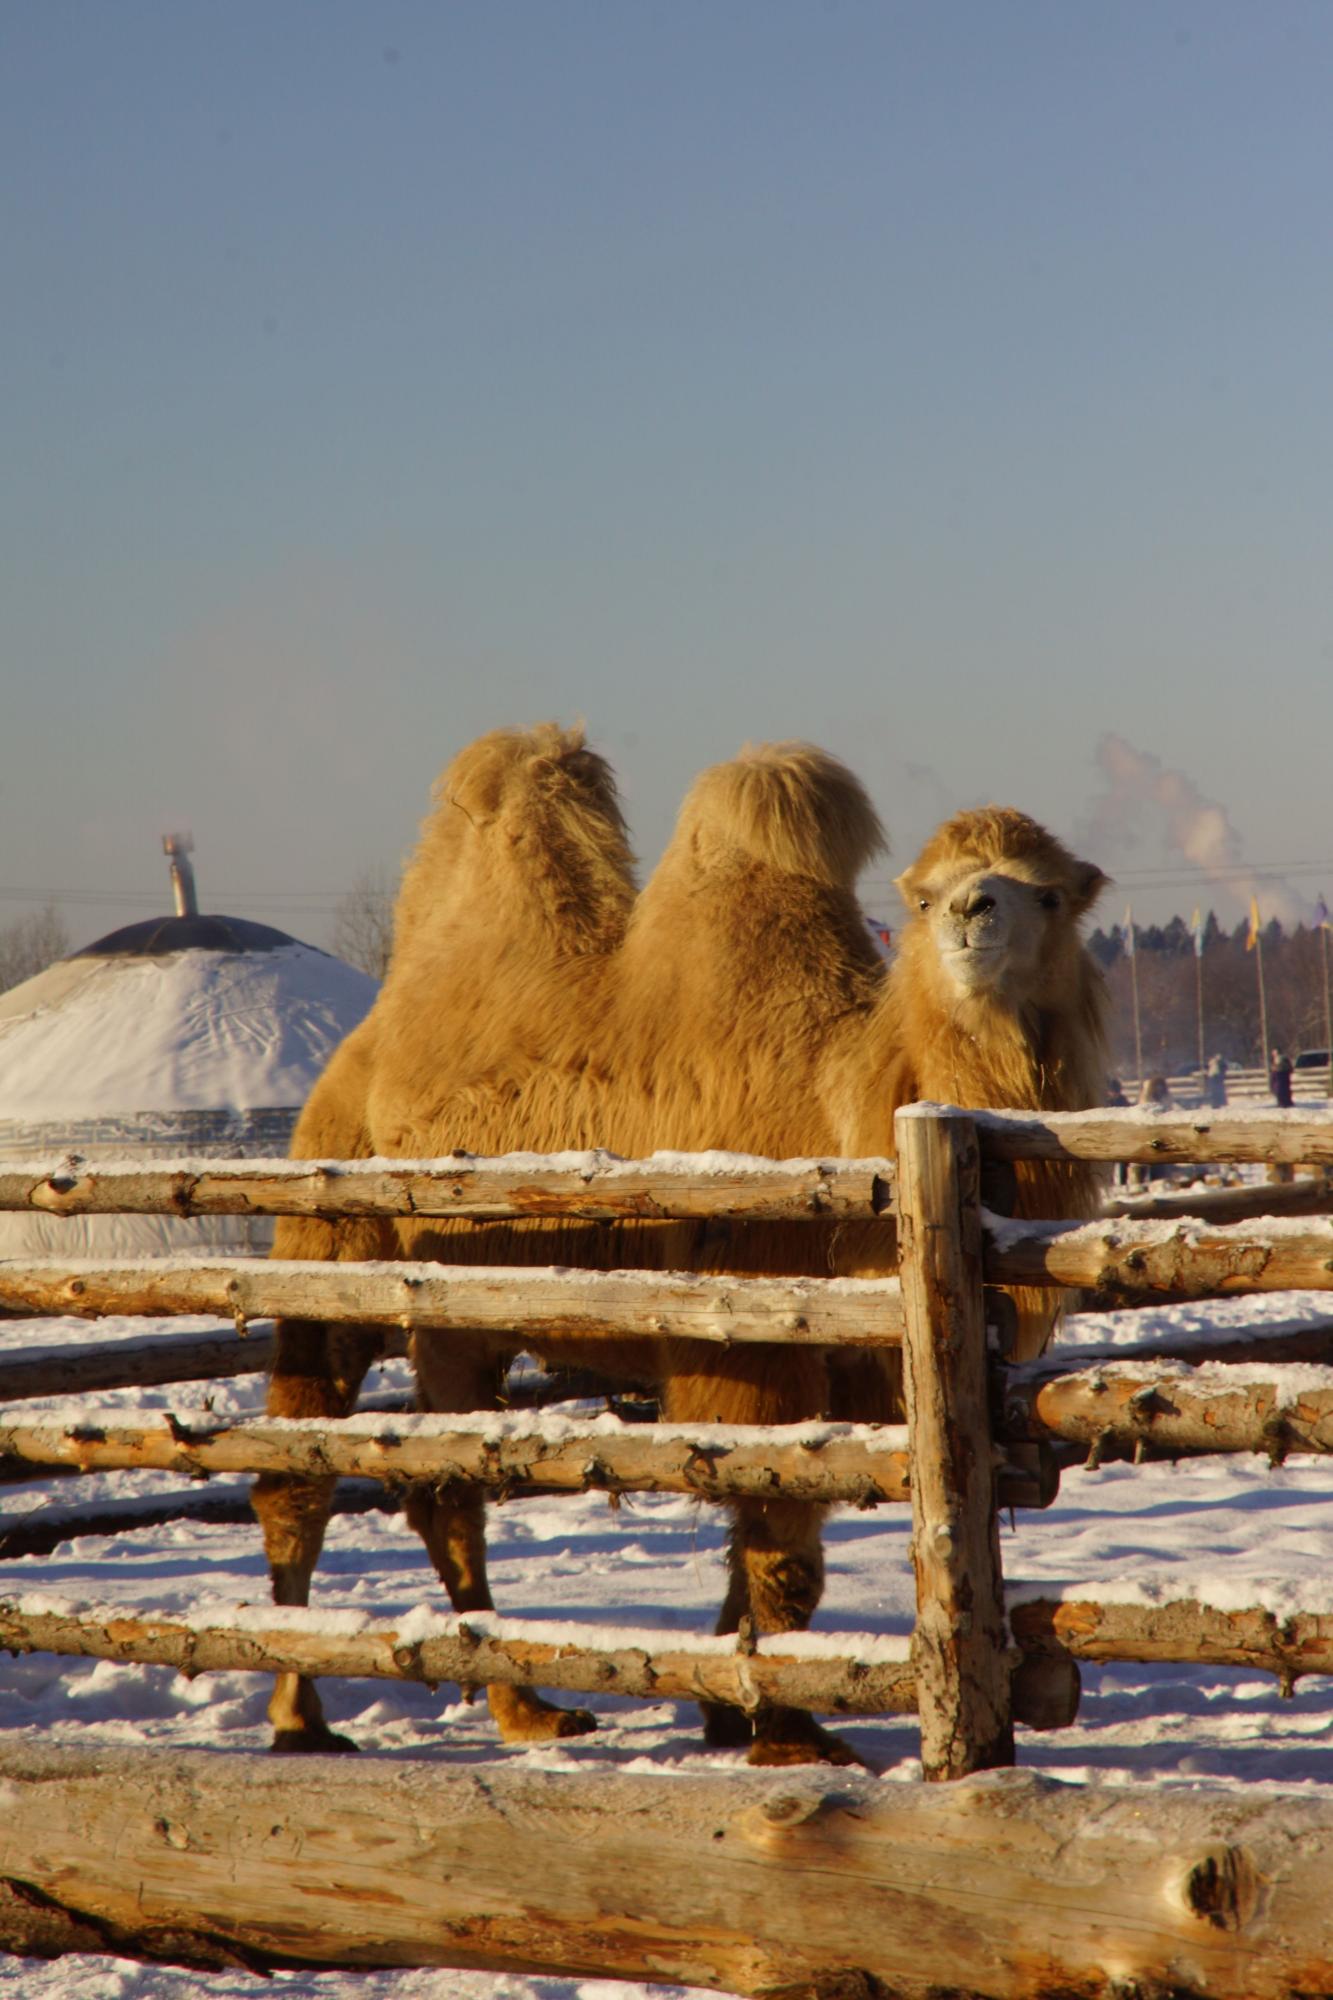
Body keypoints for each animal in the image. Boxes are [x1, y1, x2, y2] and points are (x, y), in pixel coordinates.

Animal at [254, 736, 1104, 1768]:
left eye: (1048, 894)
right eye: (925, 896)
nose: (972, 914)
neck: (848, 1107)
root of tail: (363, 1044)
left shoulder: (840, 1360)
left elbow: (766, 1524)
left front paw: (731, 1710)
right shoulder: (751, 1340)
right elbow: (781, 1542)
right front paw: (787, 1734)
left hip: (457, 1309)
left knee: (440, 1482)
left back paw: (514, 1705)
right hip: (335, 1219)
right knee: (313, 1465)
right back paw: (315, 1715)